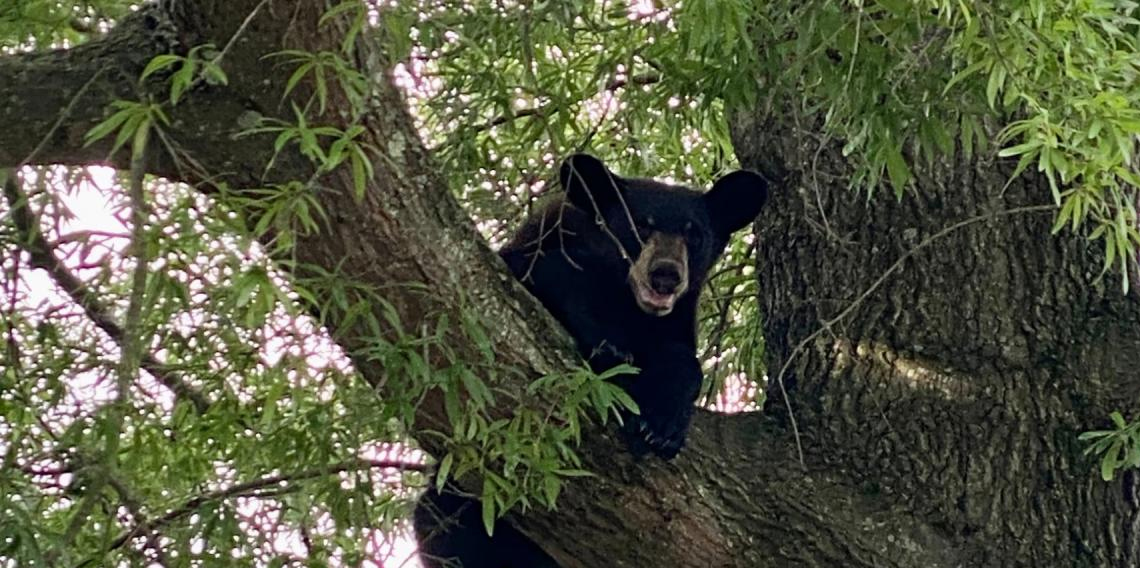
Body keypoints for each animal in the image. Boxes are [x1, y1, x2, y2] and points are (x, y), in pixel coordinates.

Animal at [410, 152, 766, 565]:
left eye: (694, 234)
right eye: (639, 225)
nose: (665, 275)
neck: (628, 303)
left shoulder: (675, 322)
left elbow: (683, 361)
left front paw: (661, 423)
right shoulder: (538, 248)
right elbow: (550, 274)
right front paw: (609, 348)